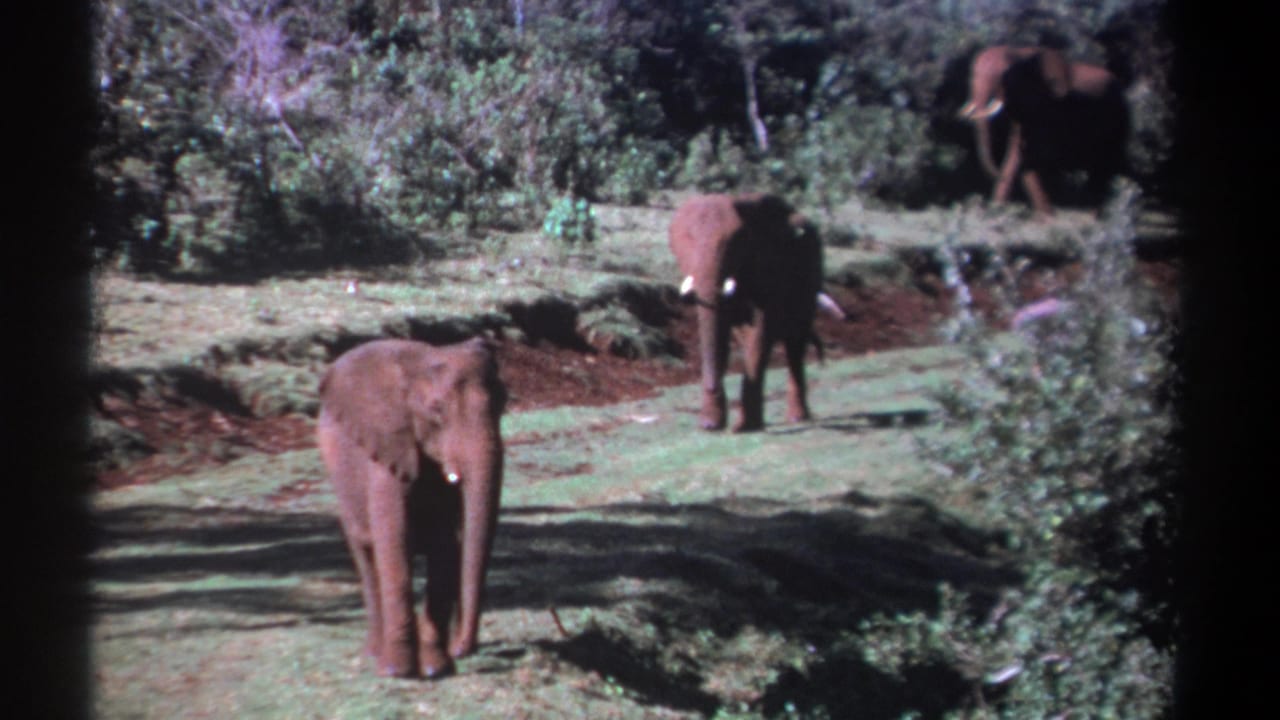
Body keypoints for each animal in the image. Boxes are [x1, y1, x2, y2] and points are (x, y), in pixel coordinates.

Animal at [316, 336, 506, 679]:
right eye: (436, 410)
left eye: (504, 404)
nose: (462, 648)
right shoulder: (387, 449)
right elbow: (394, 540)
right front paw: (399, 672)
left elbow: (445, 545)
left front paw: (435, 668)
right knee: (367, 557)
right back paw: (374, 654)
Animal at [669, 192, 829, 432]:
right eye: (688, 239)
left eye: (737, 241)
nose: (712, 388)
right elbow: (722, 333)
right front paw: (712, 423)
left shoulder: (769, 267)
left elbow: (762, 328)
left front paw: (744, 426)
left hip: (811, 276)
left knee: (795, 343)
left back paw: (797, 417)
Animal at [958, 45, 1129, 217]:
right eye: (971, 75)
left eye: (1004, 76)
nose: (1000, 175)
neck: (1019, 51)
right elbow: (1018, 156)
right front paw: (999, 210)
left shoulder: (1051, 109)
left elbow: (1034, 157)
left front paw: (1047, 218)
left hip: (1119, 118)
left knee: (1103, 166)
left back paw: (1094, 214)